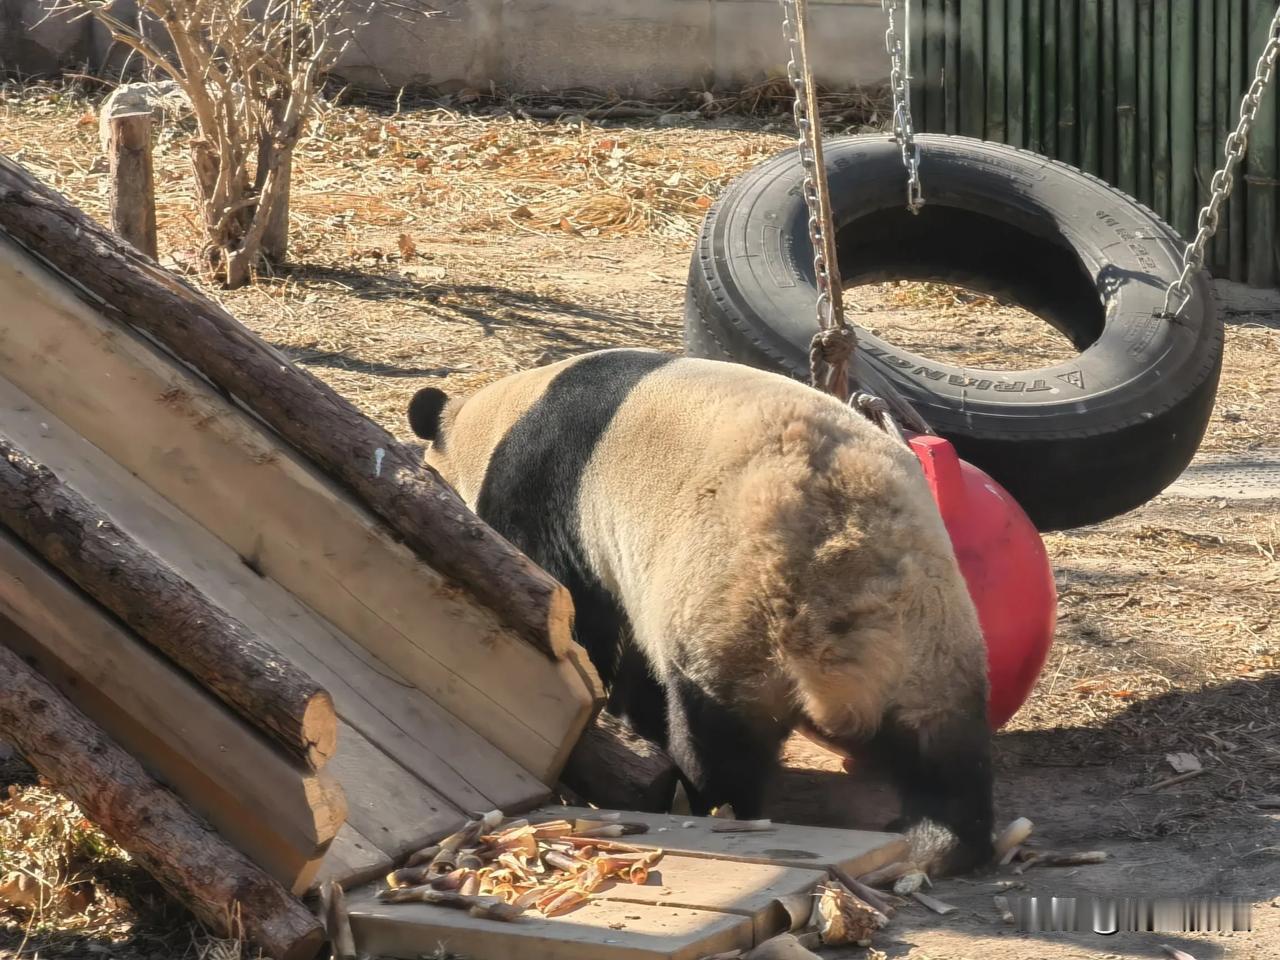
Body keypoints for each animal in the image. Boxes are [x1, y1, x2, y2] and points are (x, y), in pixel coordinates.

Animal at [404, 350, 993, 875]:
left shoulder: (550, 495)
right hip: (931, 624)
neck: (502, 415)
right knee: (945, 744)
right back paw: (944, 841)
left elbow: (578, 614)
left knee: (717, 733)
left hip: (731, 610)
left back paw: (709, 804)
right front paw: (630, 720)